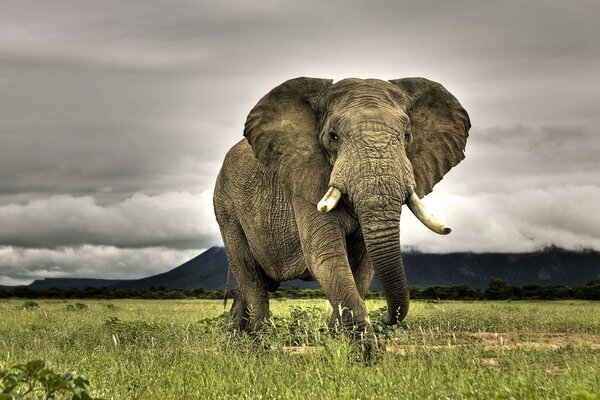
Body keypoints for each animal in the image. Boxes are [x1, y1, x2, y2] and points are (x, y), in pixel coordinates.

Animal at [213, 76, 472, 348]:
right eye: (333, 136)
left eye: (407, 135)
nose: (387, 317)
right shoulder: (305, 179)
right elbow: (326, 257)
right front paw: (364, 352)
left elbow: (363, 266)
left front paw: (338, 342)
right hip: (226, 207)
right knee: (250, 275)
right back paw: (262, 346)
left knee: (253, 282)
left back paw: (236, 342)